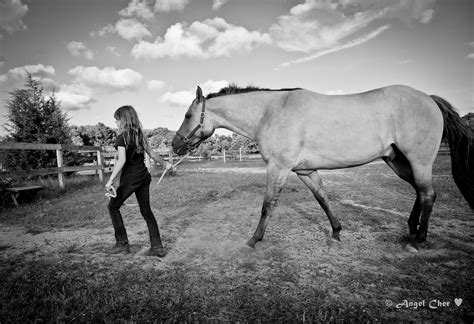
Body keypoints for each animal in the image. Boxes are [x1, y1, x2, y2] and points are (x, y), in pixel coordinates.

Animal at [172, 83, 472, 248]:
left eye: (187, 115)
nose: (175, 145)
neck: (271, 112)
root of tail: (429, 99)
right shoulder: (305, 171)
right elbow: (323, 199)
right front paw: (337, 231)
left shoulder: (278, 169)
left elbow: (268, 205)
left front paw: (254, 240)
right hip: (398, 162)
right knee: (420, 193)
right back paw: (411, 230)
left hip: (418, 161)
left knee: (428, 194)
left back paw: (419, 240)